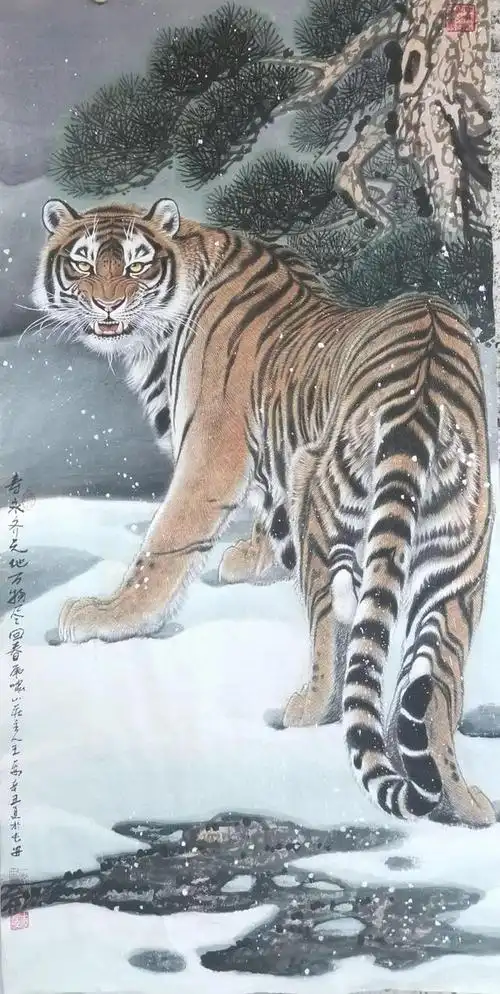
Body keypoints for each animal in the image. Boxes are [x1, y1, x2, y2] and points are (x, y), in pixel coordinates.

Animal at [32, 196, 496, 827]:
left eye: (135, 265)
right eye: (82, 263)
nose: (107, 303)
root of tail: (426, 386)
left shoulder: (211, 454)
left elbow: (166, 543)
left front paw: (107, 617)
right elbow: (265, 518)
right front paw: (251, 557)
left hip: (324, 501)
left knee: (333, 636)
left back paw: (302, 708)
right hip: (457, 563)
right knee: (437, 684)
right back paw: (464, 801)